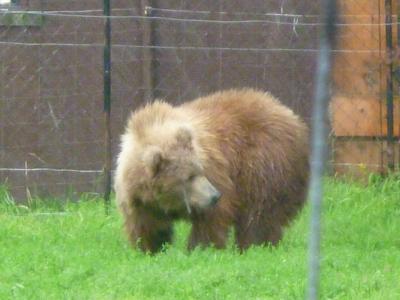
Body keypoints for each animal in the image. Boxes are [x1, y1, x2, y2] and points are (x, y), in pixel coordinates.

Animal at [113, 88, 310, 253]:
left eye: (199, 170)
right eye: (189, 176)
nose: (214, 196)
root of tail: (292, 117)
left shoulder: (215, 172)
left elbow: (211, 219)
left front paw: (200, 248)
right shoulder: (139, 200)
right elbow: (147, 227)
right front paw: (151, 248)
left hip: (264, 161)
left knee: (259, 212)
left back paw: (254, 246)